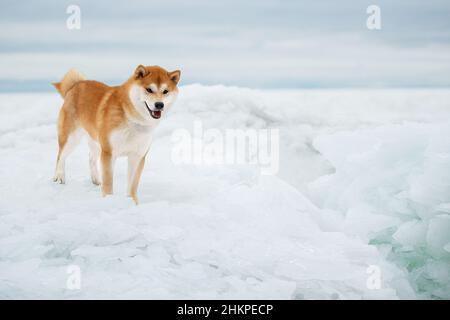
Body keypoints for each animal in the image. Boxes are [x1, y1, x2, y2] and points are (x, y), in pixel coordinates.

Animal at [51, 65, 181, 204]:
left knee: (91, 158)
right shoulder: (109, 153)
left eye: (165, 91)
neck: (133, 120)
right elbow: (108, 183)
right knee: (60, 156)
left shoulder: (137, 156)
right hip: (72, 138)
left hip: (96, 141)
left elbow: (132, 185)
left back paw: (96, 180)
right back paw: (59, 177)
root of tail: (76, 84)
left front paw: (132, 202)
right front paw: (109, 200)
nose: (159, 105)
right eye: (149, 89)